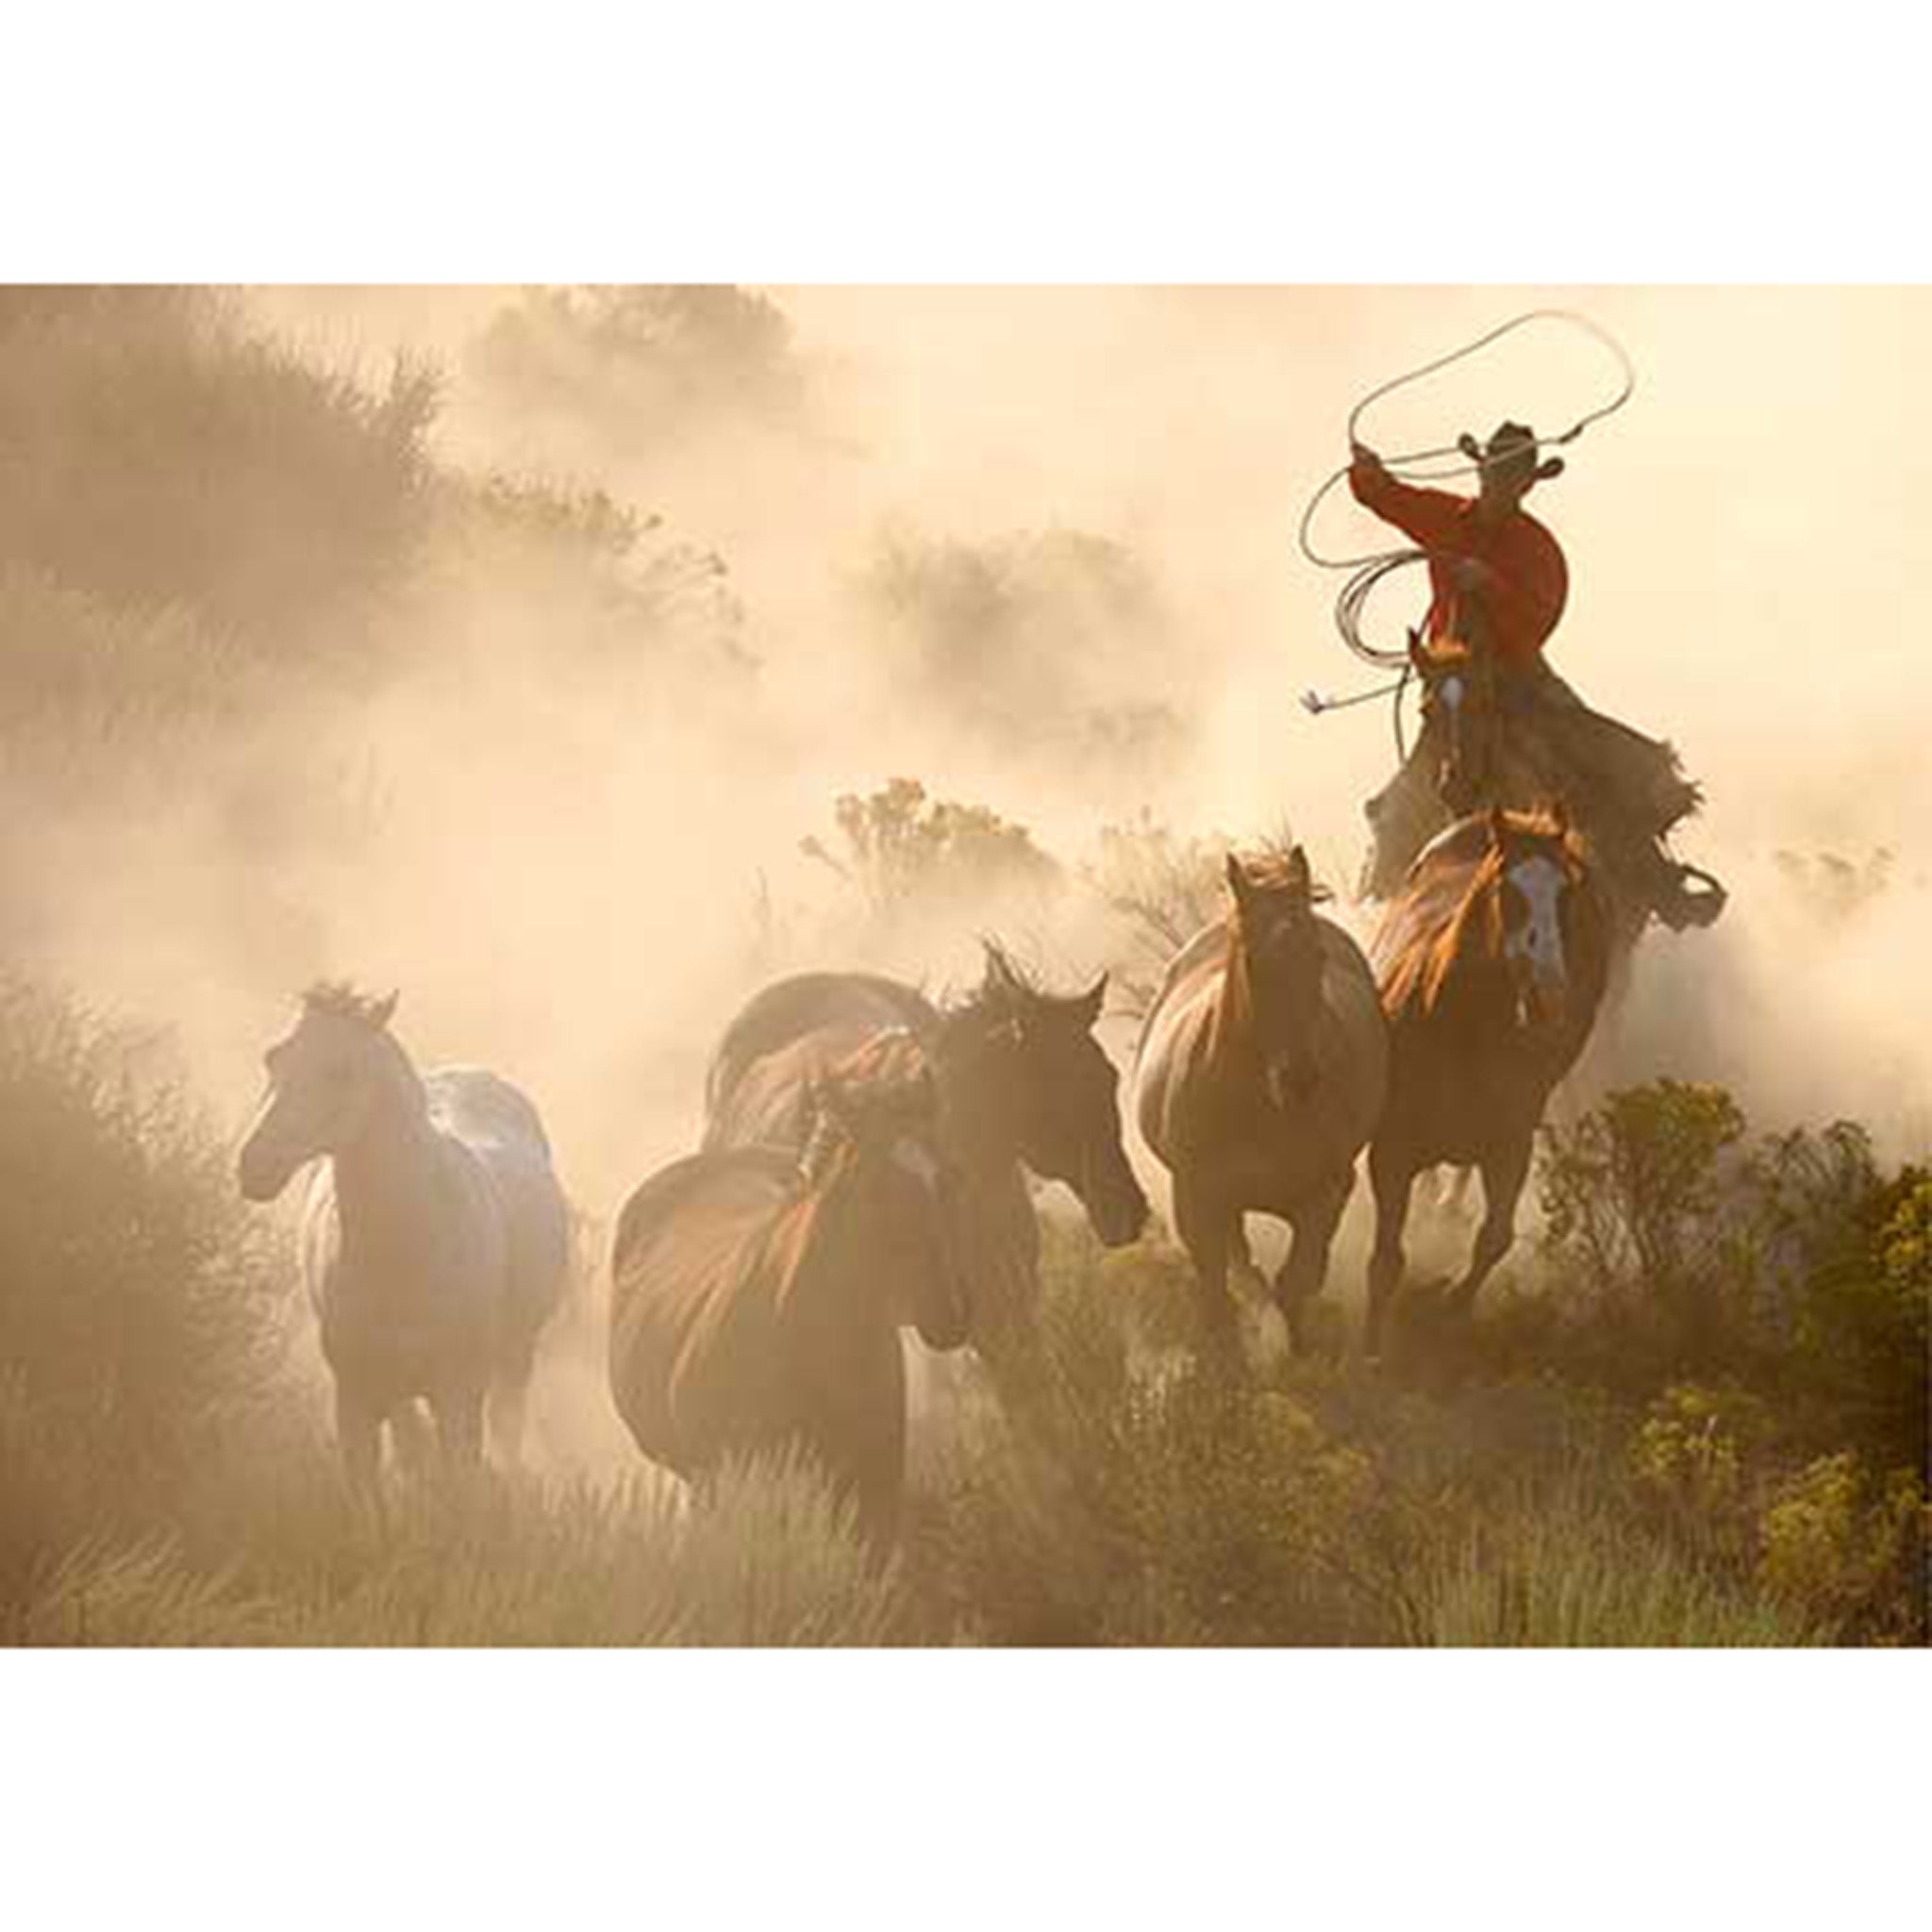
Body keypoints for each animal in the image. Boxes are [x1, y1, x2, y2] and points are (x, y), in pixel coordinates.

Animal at [232, 989, 564, 1499]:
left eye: (341, 1069)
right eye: (275, 1057)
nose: (255, 1164)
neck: (404, 1250)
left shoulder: (458, 1394)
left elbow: (460, 1487)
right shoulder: (355, 1395)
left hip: (513, 1357)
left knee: (506, 1433)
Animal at [1128, 854, 1391, 1352]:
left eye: (1317, 955)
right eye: (1251, 960)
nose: (1299, 1077)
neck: (1260, 1108)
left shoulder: (1321, 1198)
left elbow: (1296, 1281)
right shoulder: (1198, 1200)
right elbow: (1219, 1293)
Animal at [1359, 808, 1615, 1352]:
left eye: (1567, 894)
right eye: (1507, 889)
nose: (1549, 997)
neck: (1462, 1029)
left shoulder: (1509, 1148)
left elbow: (1494, 1240)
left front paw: (1447, 1304)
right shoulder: (1391, 1150)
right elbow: (1386, 1261)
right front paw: (1368, 1351)